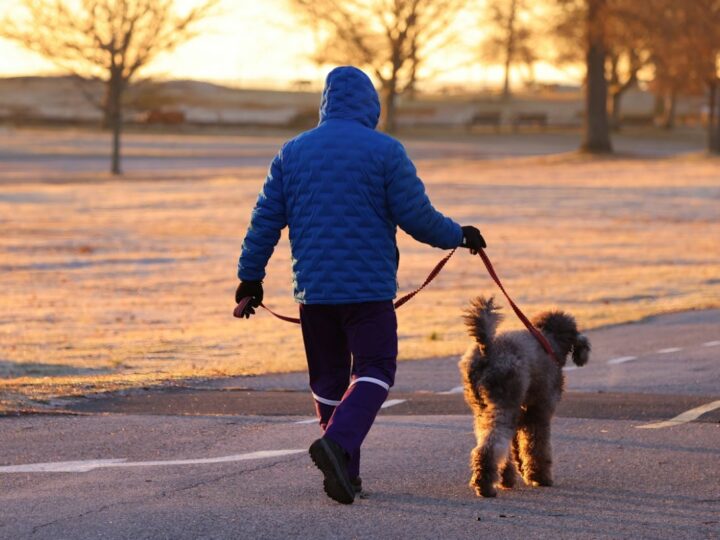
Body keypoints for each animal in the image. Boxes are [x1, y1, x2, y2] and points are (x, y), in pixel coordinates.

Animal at [458, 296, 588, 498]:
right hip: (504, 402)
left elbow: (516, 447)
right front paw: (540, 477)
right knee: (491, 445)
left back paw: (496, 479)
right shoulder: (538, 413)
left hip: (482, 408)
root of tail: (487, 349)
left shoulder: (522, 413)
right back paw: (485, 485)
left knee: (489, 438)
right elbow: (537, 446)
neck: (548, 340)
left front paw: (514, 474)